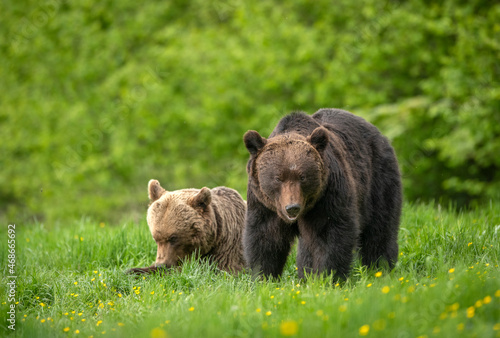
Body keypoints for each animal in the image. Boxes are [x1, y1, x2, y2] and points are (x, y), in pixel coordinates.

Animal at [243, 108, 402, 280]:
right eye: (278, 178)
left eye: (302, 177)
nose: (292, 207)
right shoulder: (263, 203)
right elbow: (265, 237)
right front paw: (263, 276)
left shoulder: (328, 194)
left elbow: (329, 236)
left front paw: (327, 277)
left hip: (378, 179)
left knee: (380, 228)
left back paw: (380, 269)